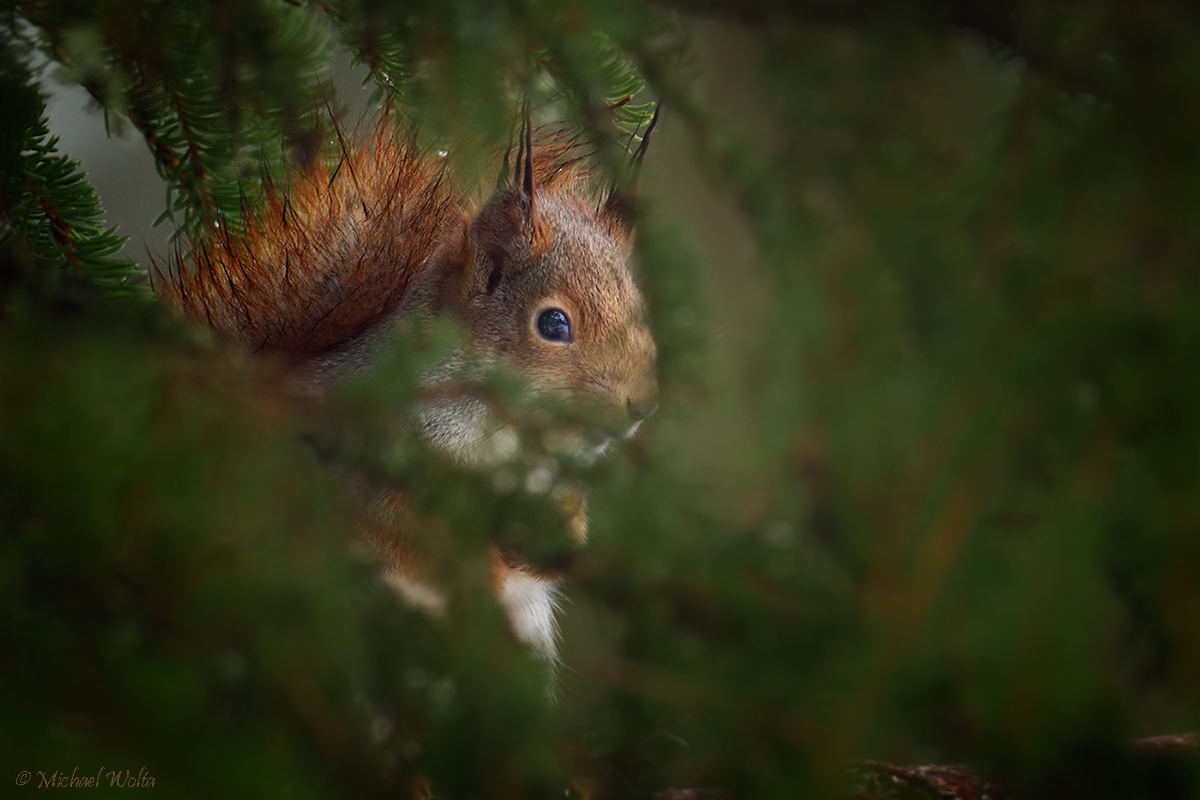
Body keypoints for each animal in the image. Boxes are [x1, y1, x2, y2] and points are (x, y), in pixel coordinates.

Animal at [154, 110, 662, 662]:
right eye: (553, 324)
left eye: (640, 308)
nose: (642, 405)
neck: (506, 443)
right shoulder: (370, 458)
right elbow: (406, 538)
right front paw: (478, 571)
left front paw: (556, 539)